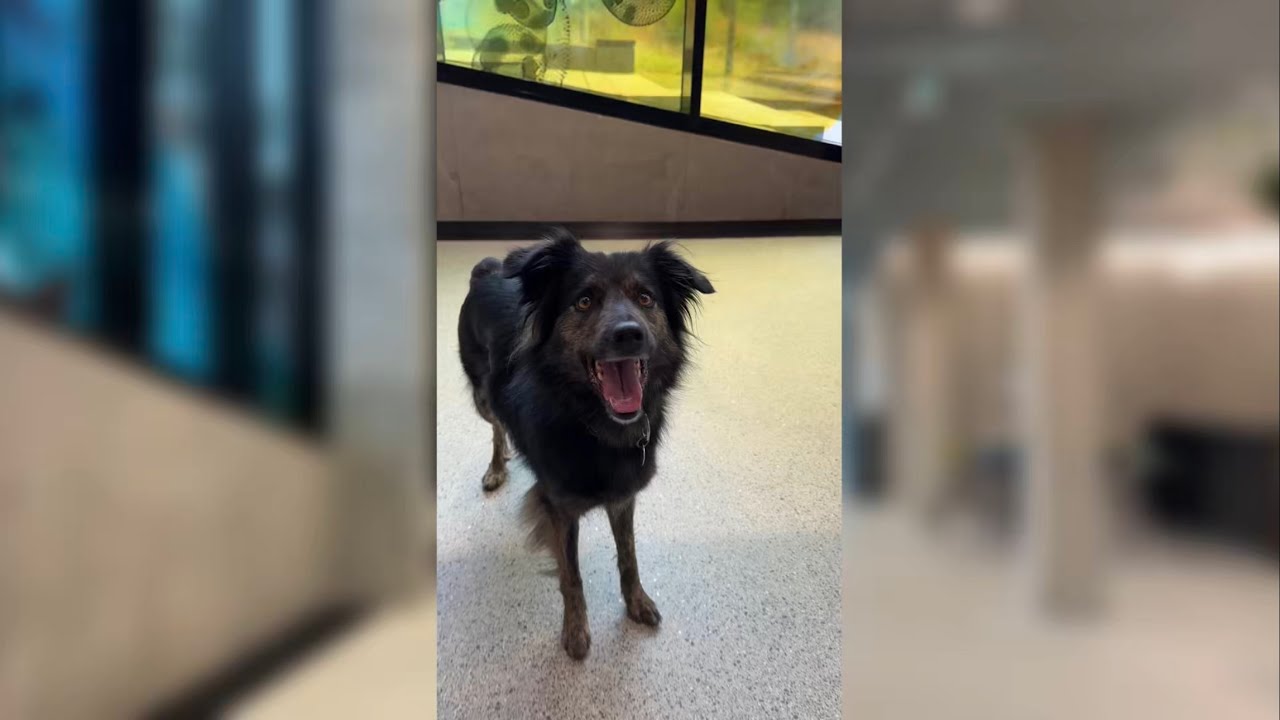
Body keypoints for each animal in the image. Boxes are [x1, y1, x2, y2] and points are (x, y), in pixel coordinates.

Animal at [457, 227, 715, 659]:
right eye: (584, 301)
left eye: (646, 298)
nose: (629, 334)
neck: (593, 426)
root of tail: (486, 270)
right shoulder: (558, 509)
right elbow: (571, 575)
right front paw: (576, 632)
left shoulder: (623, 496)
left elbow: (628, 555)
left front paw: (637, 601)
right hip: (482, 396)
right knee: (496, 426)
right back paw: (496, 467)